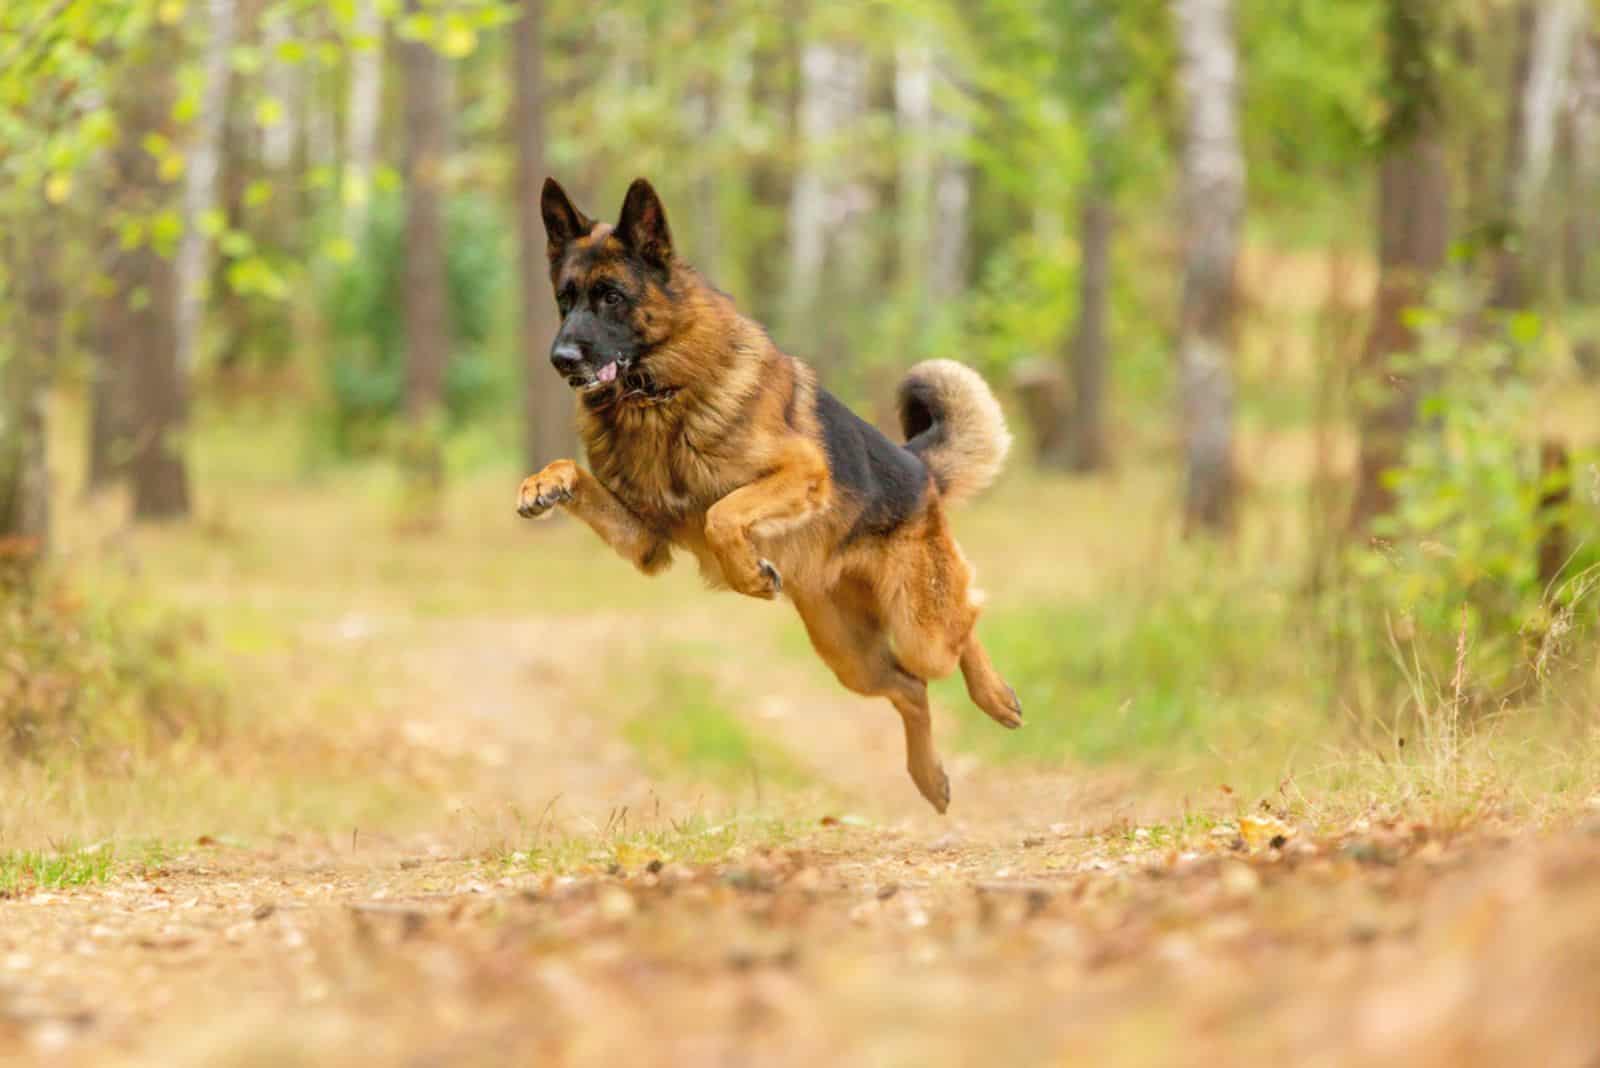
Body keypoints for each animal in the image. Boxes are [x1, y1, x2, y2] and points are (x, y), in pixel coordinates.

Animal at [518, 177, 1017, 808]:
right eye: (566, 298)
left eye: (610, 297)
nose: (561, 359)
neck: (656, 398)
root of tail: (917, 468)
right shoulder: (647, 542)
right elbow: (577, 474)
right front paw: (543, 483)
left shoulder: (802, 472)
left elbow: (722, 514)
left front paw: (749, 576)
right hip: (850, 656)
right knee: (912, 688)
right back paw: (929, 777)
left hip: (916, 626)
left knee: (965, 622)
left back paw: (995, 697)